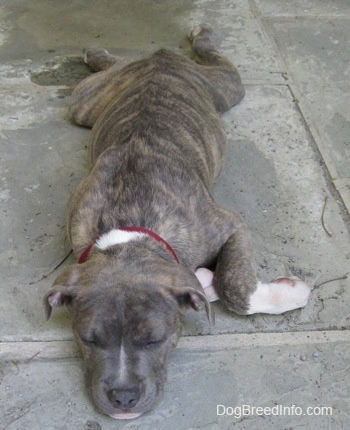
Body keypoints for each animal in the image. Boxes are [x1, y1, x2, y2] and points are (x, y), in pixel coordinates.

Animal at [44, 25, 312, 418]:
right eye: (88, 339)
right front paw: (208, 282)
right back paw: (99, 55)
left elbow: (235, 285)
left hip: (225, 87)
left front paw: (287, 293)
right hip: (86, 100)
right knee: (114, 67)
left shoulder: (229, 225)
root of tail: (160, 58)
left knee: (216, 60)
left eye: (155, 339)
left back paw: (200, 35)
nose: (123, 398)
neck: (131, 227)